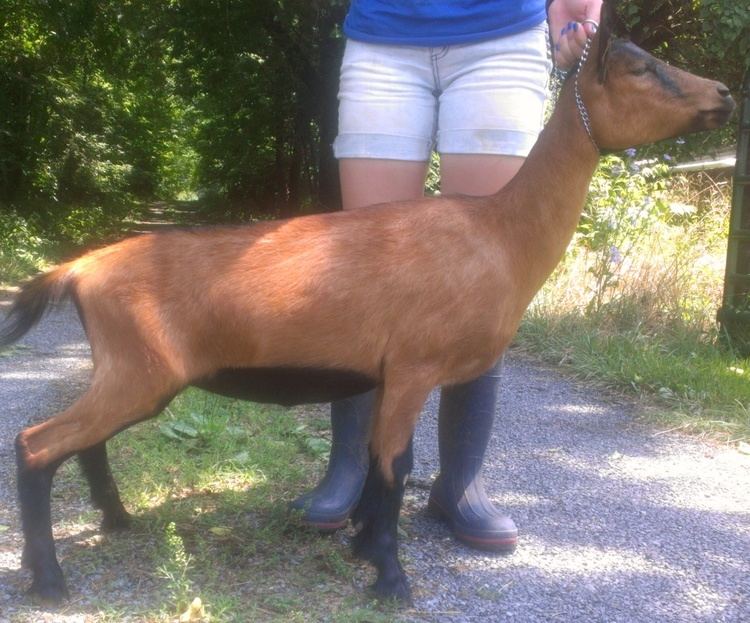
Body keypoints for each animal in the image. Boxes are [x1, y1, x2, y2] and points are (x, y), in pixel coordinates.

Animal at [0, 8, 736, 604]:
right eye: (640, 68)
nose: (726, 94)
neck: (500, 232)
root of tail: (78, 269)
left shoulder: (387, 372)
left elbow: (388, 468)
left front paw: (363, 550)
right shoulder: (413, 366)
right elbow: (393, 468)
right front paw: (390, 578)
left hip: (128, 372)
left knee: (83, 442)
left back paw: (117, 521)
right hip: (140, 369)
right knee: (37, 444)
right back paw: (51, 579)